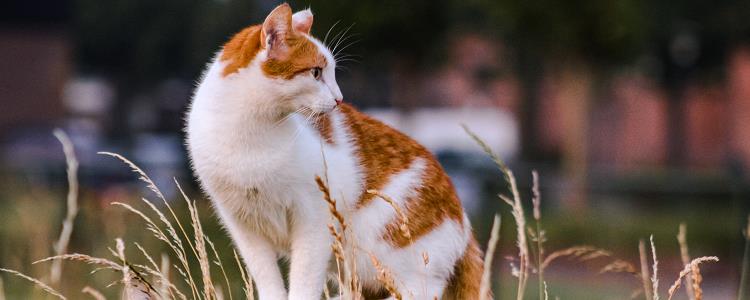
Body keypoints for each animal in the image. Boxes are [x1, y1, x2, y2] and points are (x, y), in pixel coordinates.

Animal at [188, 2, 488, 300]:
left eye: (329, 72)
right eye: (316, 72)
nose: (339, 99)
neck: (249, 132)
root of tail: (463, 219)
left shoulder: (314, 219)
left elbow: (304, 282)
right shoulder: (243, 225)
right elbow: (268, 279)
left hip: (403, 265)